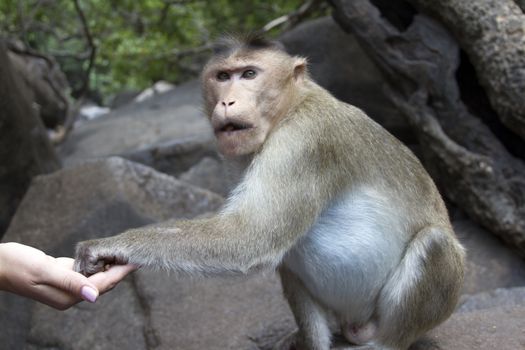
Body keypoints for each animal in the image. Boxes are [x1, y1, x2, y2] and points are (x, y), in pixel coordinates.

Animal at [73, 34, 462, 350]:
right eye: (222, 76)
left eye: (248, 74)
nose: (227, 102)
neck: (290, 107)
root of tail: (357, 325)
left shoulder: (305, 141)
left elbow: (248, 235)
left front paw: (110, 245)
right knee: (289, 259)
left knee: (434, 244)